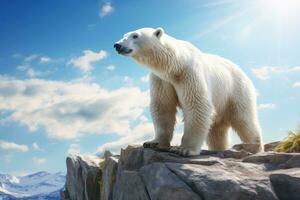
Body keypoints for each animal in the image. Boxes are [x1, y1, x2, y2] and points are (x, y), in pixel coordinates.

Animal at [113, 27, 264, 156]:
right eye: (124, 35)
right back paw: (219, 148)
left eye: (135, 35)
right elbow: (162, 106)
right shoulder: (161, 79)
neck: (175, 65)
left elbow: (197, 104)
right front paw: (153, 142)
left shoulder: (189, 73)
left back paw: (255, 147)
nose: (117, 45)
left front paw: (184, 149)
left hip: (236, 91)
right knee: (216, 131)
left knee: (244, 119)